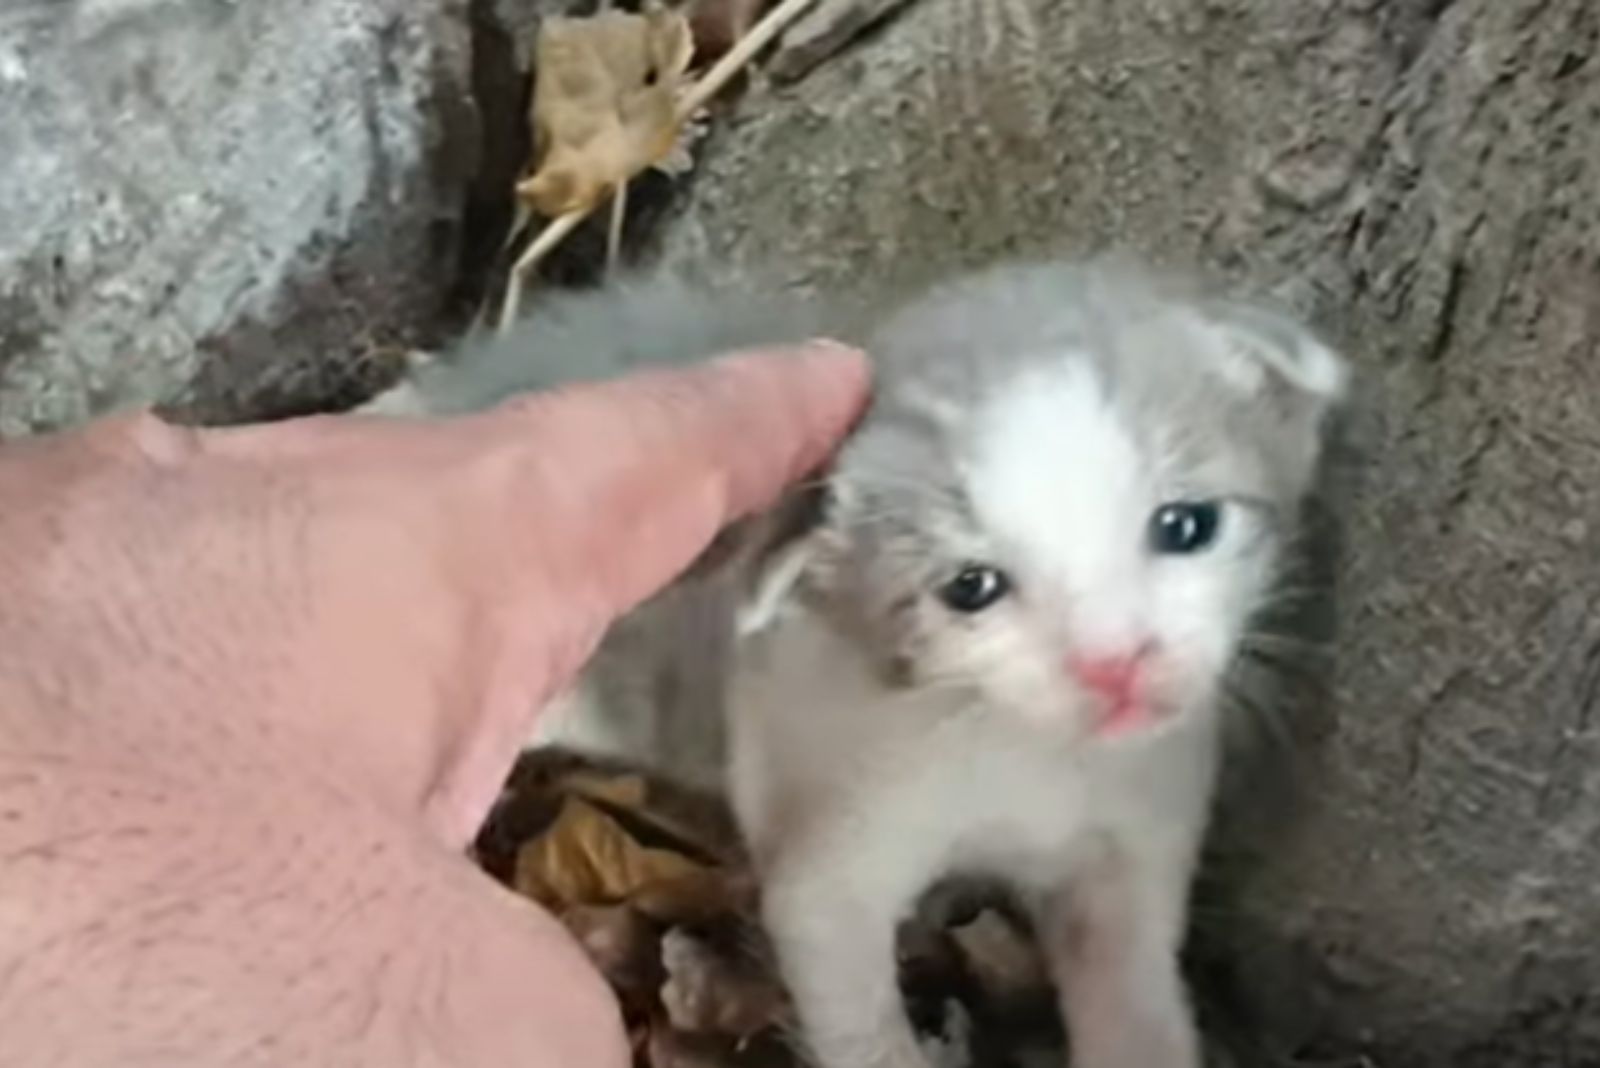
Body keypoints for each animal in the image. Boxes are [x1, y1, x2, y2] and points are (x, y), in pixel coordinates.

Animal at [366, 259, 1350, 1068]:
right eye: (971, 587)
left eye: (1186, 525)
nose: (1117, 663)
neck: (1030, 756)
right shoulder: (834, 855)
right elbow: (855, 1013)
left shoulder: (1132, 854)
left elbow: (1136, 1011)